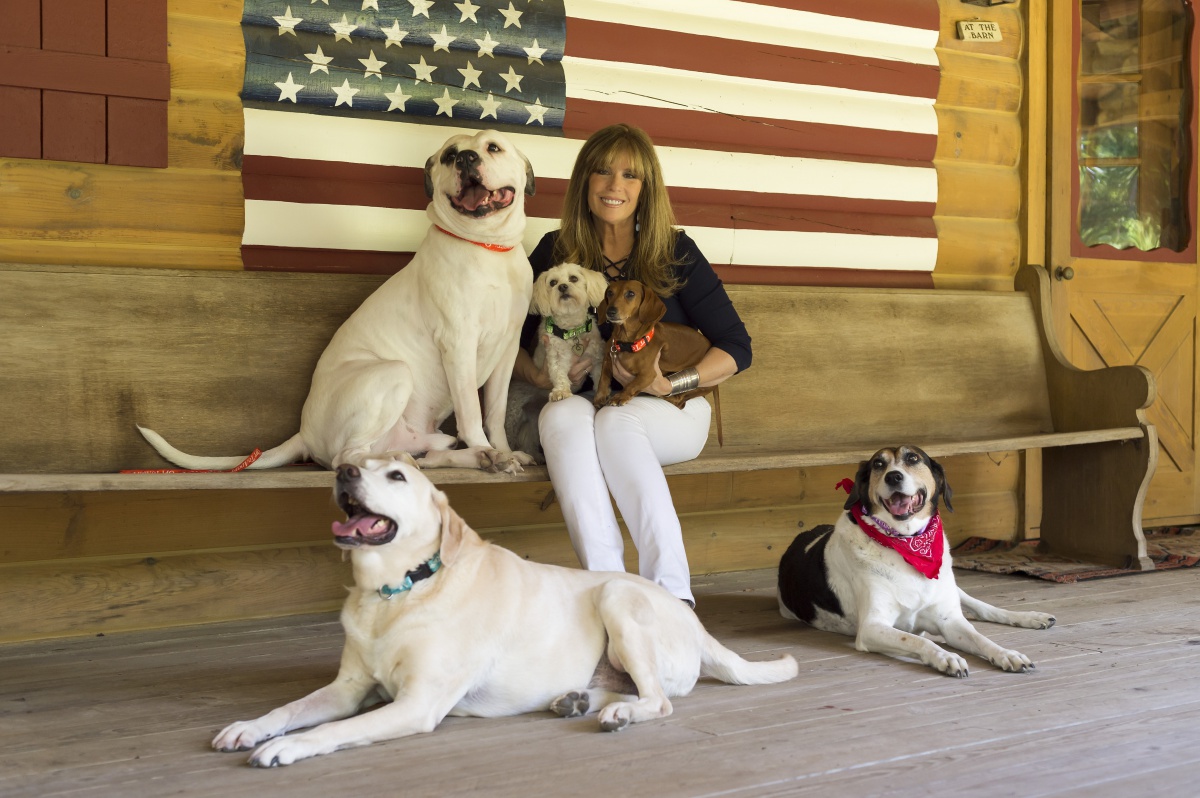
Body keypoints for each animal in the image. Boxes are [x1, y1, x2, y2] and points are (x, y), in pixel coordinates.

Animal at [213, 460, 796, 768]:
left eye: (397, 475)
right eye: (356, 458)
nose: (343, 470)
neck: (396, 593)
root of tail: (695, 623)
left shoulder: (416, 703)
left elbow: (334, 729)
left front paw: (289, 746)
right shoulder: (349, 688)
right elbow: (291, 707)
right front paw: (251, 727)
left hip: (616, 597)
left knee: (658, 700)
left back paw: (617, 713)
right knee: (627, 689)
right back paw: (576, 700)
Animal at [530, 260, 604, 398]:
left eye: (574, 278)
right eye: (553, 282)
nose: (562, 286)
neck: (572, 329)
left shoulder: (596, 356)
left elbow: (600, 375)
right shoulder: (556, 353)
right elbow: (558, 372)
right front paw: (561, 391)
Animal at [777, 444, 1051, 676]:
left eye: (913, 459)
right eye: (878, 464)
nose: (893, 477)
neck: (908, 542)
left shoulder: (950, 621)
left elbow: (981, 638)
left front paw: (1007, 654)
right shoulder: (872, 627)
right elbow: (918, 638)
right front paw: (946, 657)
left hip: (951, 587)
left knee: (982, 608)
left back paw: (1032, 617)